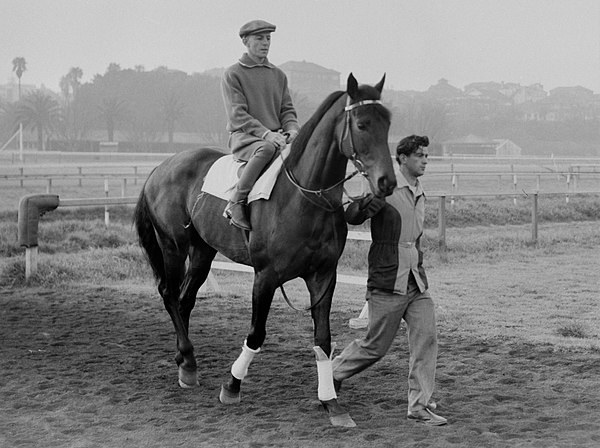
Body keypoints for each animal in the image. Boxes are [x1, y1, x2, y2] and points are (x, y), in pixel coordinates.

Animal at [135, 73, 398, 428]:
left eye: (388, 123)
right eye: (361, 123)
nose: (387, 182)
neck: (303, 198)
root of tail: (161, 167)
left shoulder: (323, 276)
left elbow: (323, 340)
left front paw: (331, 402)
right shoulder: (265, 277)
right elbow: (256, 334)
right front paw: (232, 386)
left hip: (203, 250)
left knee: (185, 299)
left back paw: (185, 360)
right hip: (173, 247)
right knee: (169, 294)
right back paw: (188, 361)